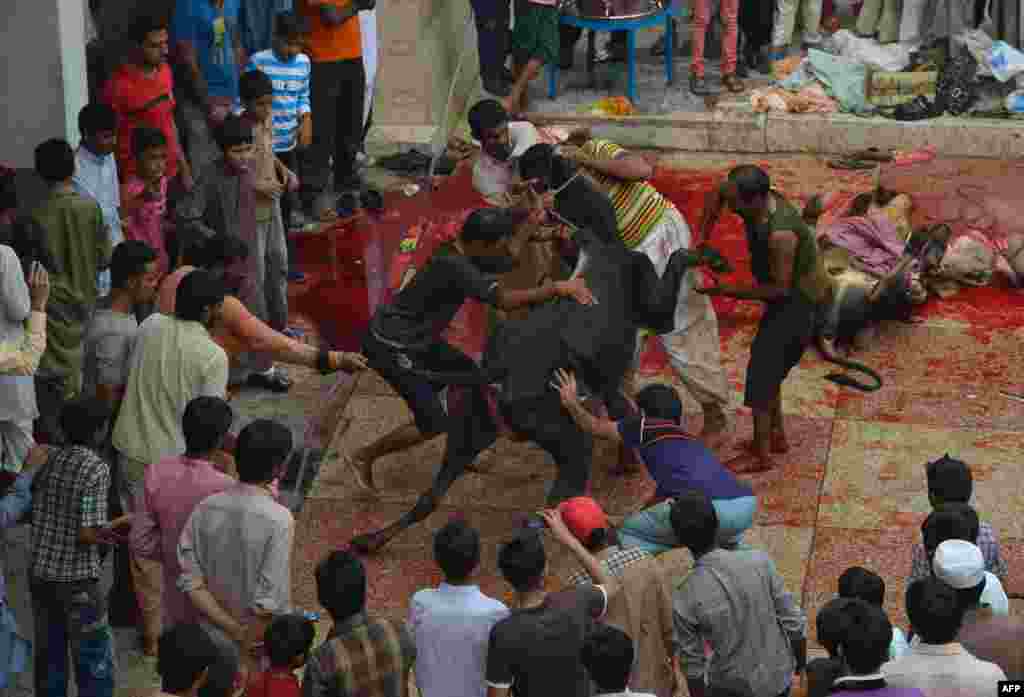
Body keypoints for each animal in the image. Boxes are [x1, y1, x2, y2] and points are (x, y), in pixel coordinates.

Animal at [348, 225, 692, 552]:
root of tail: (500, 371)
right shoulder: (654, 308)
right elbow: (677, 263)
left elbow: (621, 410)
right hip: (572, 445)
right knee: (545, 513)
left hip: (469, 434)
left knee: (428, 498)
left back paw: (369, 540)